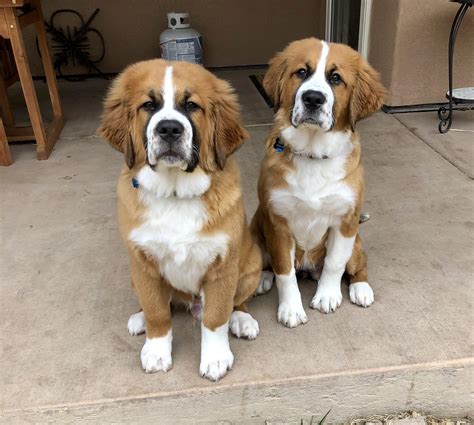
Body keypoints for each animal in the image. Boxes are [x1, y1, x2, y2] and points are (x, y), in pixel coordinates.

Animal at [98, 58, 262, 380]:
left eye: (192, 106)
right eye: (149, 105)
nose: (170, 129)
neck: (175, 193)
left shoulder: (223, 267)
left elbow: (216, 316)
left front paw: (215, 358)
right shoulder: (143, 263)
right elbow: (157, 312)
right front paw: (156, 350)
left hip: (251, 266)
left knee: (237, 301)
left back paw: (242, 318)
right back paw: (139, 319)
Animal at [252, 37, 386, 328]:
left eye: (336, 78)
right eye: (302, 72)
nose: (313, 98)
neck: (313, 154)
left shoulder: (345, 222)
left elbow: (335, 264)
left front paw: (327, 296)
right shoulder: (278, 223)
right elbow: (284, 271)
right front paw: (291, 308)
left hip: (356, 242)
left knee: (359, 264)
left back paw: (361, 288)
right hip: (256, 231)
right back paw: (263, 278)